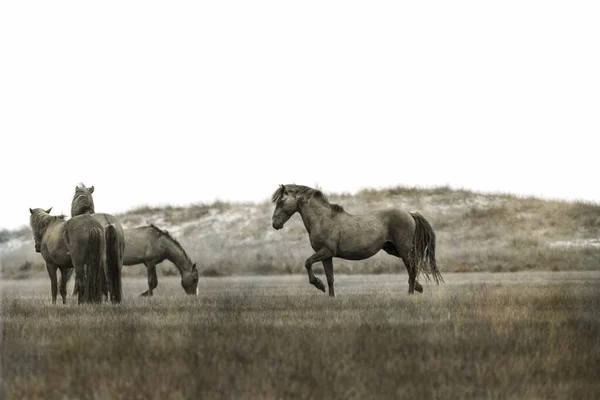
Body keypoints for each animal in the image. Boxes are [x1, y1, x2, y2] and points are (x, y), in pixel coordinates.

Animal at [270, 186, 442, 296]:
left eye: (281, 201)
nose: (275, 224)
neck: (322, 219)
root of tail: (410, 213)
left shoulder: (326, 251)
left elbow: (307, 263)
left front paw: (319, 285)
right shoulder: (327, 256)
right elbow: (330, 278)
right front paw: (331, 296)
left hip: (404, 250)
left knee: (412, 270)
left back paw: (411, 293)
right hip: (393, 249)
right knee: (414, 268)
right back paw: (418, 288)